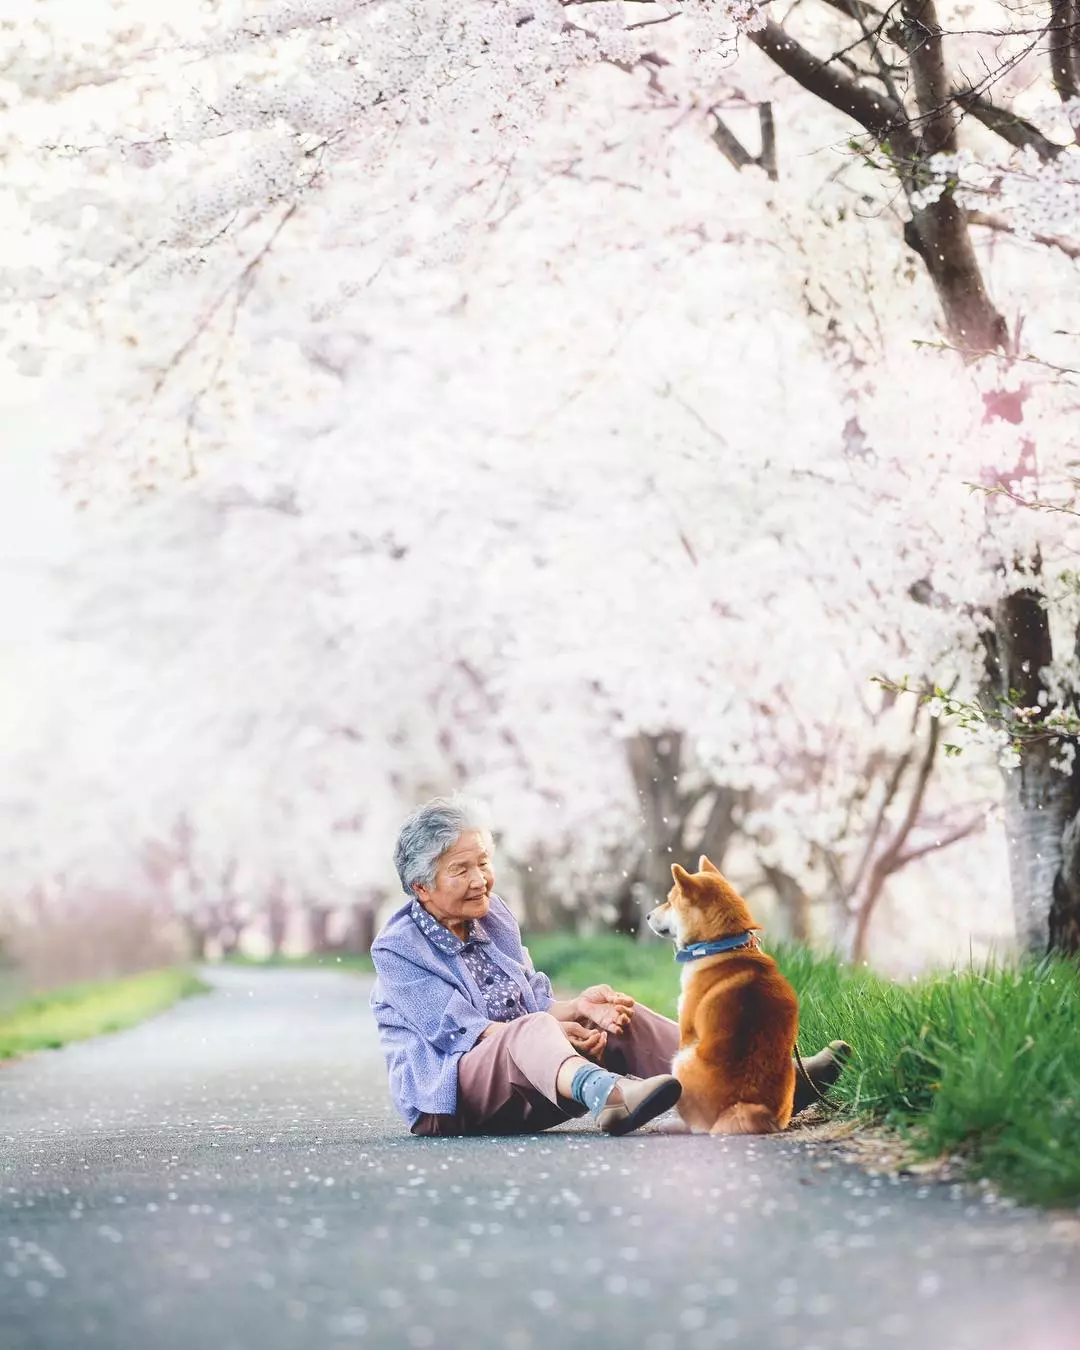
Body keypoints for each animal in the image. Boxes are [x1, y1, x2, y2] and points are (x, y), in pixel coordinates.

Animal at [645, 858, 799, 1134]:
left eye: (670, 901)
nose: (647, 915)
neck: (723, 946)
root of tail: (743, 1106)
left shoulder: (686, 1031)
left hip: (681, 1061)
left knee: (697, 1127)